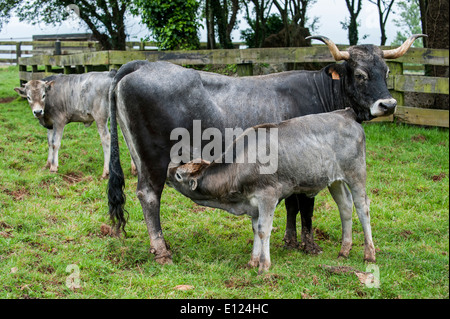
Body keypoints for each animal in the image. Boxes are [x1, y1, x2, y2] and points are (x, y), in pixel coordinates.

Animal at [167, 109, 374, 274]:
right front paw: (252, 261)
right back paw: (344, 250)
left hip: (356, 173)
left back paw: (369, 254)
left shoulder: (267, 196)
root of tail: (345, 113)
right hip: (335, 180)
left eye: (178, 175)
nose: (167, 173)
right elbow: (255, 229)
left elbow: (263, 230)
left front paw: (263, 266)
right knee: (345, 206)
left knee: (362, 207)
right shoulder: (253, 203)